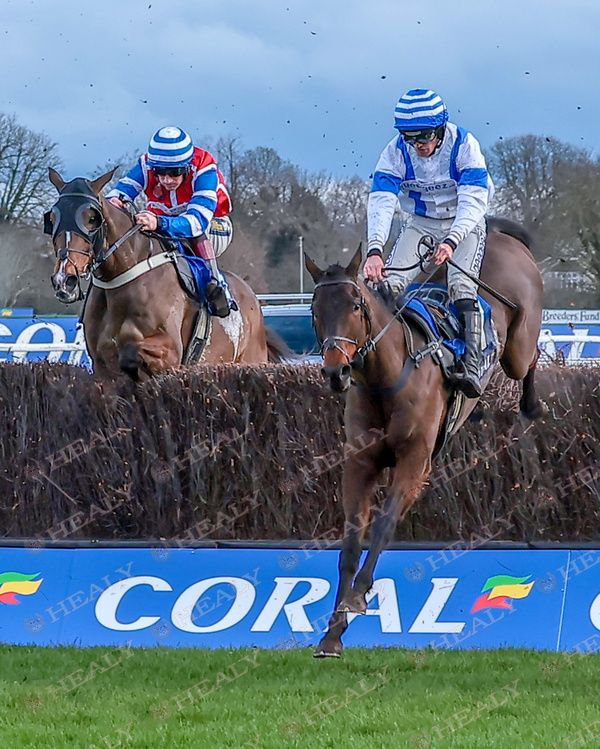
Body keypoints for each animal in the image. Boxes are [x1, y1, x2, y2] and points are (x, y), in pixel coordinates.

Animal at [308, 219, 548, 656]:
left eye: (356, 305)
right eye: (315, 311)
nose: (337, 372)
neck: (386, 379)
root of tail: (502, 235)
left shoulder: (414, 463)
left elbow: (383, 527)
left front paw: (358, 598)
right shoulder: (359, 464)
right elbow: (350, 544)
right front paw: (332, 634)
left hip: (518, 343)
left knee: (530, 356)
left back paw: (532, 404)